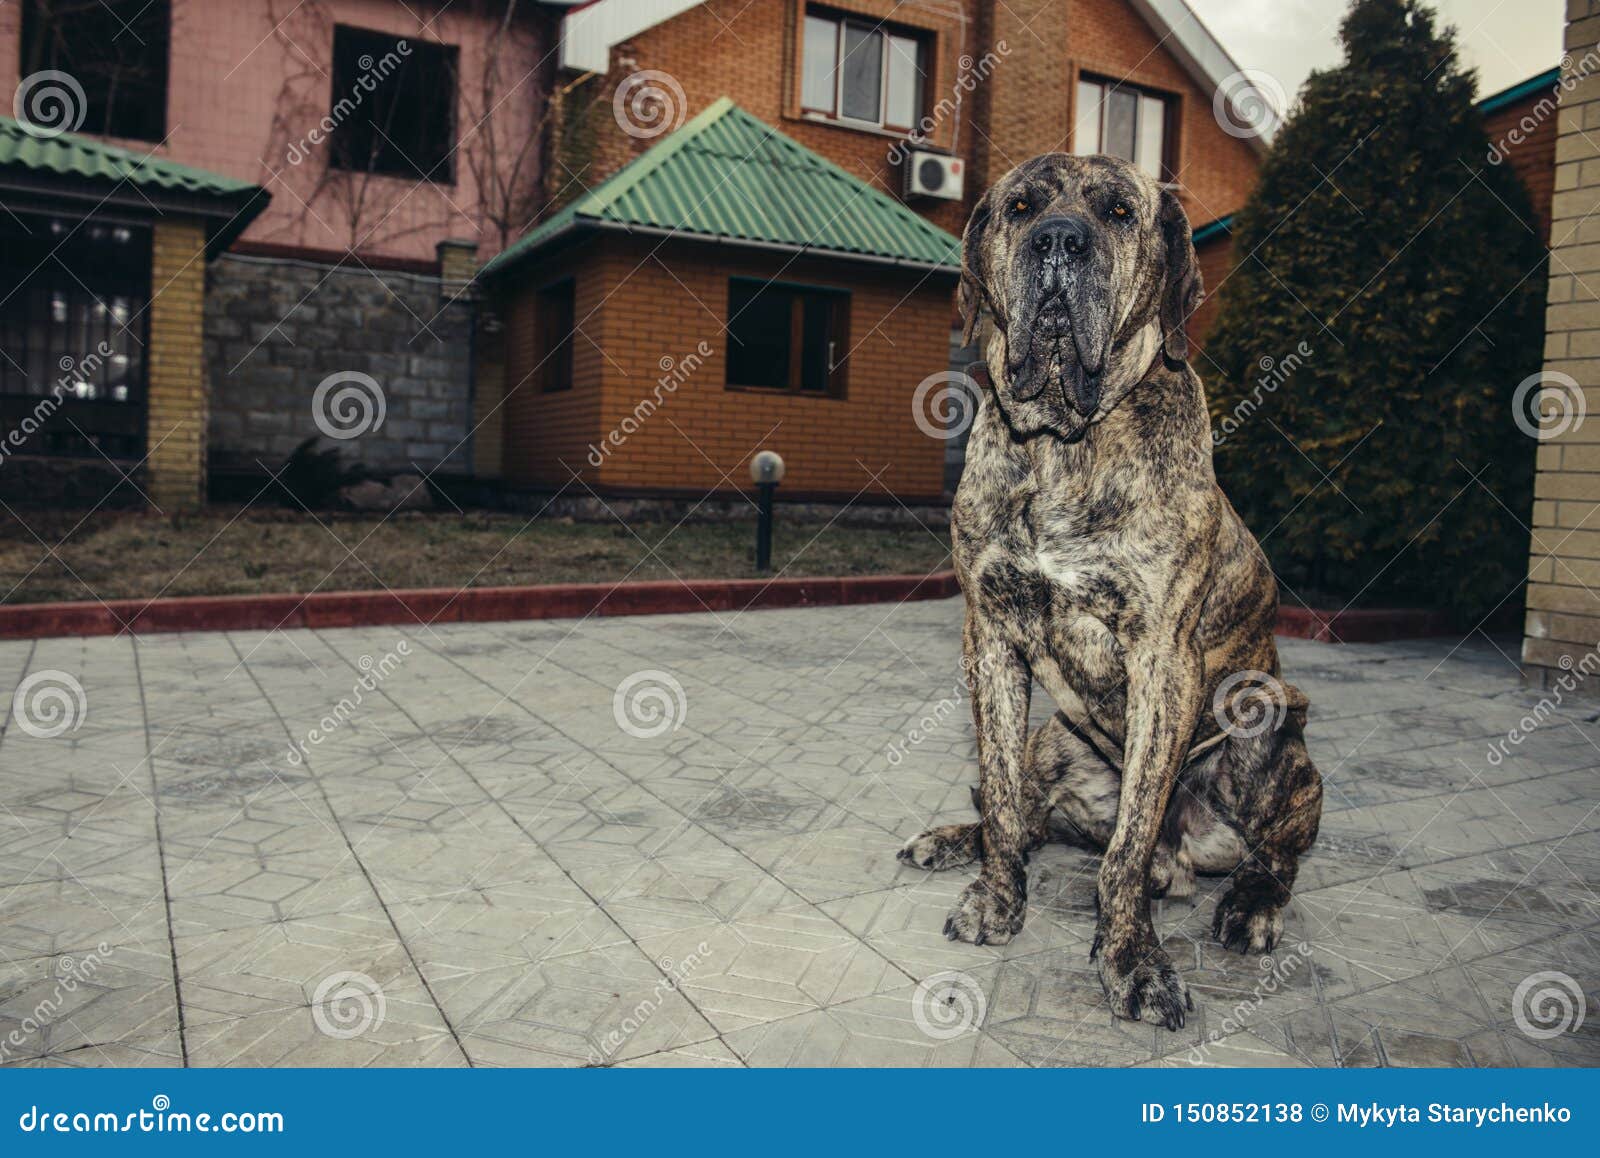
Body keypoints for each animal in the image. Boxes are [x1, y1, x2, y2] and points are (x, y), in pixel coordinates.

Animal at [902, 153, 1324, 1030]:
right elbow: (1001, 799)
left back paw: (1248, 903)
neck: (1066, 444)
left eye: (1121, 213)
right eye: (1020, 208)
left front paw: (1131, 961)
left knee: (1270, 849)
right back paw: (955, 839)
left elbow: (1127, 848)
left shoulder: (1164, 660)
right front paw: (998, 901)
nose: (1059, 241)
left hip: (1266, 716)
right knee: (1029, 814)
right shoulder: (990, 638)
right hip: (1054, 736)